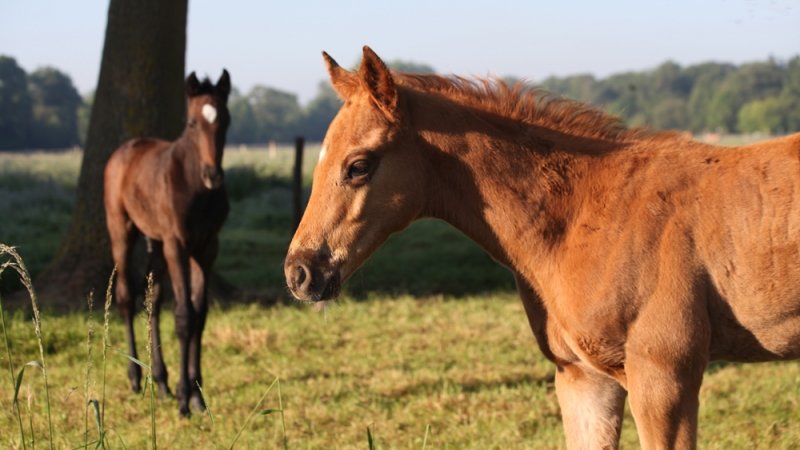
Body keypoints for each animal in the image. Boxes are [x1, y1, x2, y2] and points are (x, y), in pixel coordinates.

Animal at [104, 70, 230, 417]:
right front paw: (185, 399)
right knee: (126, 297)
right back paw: (135, 378)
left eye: (226, 120)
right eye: (192, 123)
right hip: (122, 229)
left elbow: (200, 315)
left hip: (156, 242)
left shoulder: (207, 249)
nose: (213, 175)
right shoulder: (178, 245)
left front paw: (197, 396)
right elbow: (184, 316)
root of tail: (125, 150)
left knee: (153, 301)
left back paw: (160, 382)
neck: (195, 188)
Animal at [284, 47, 800, 449]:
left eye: (359, 165)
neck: (587, 214)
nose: (300, 272)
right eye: (319, 157)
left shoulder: (665, 377)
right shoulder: (582, 378)